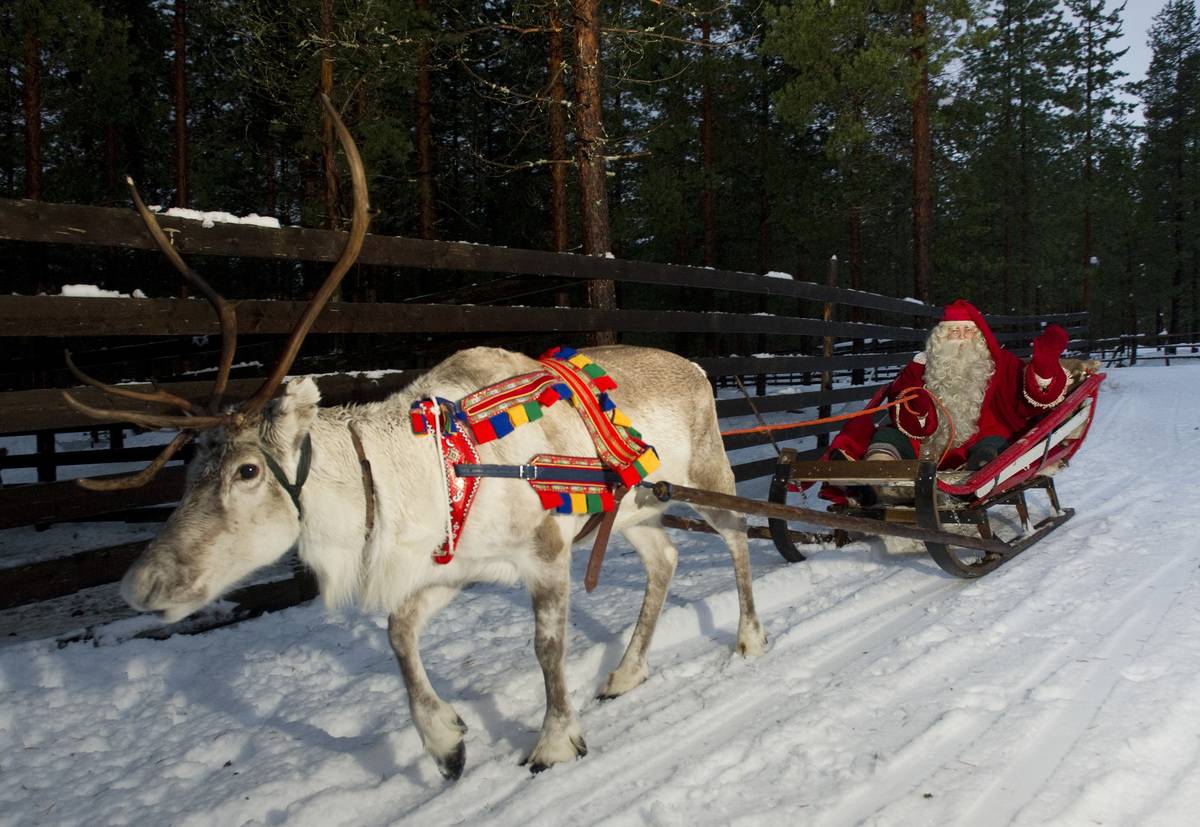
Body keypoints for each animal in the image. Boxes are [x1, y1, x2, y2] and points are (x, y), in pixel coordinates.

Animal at [64, 95, 767, 781]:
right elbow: (398, 632)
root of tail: (698, 368)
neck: (420, 472)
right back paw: (625, 672)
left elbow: (547, 648)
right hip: (633, 511)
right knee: (666, 559)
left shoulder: (544, 551)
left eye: (248, 470)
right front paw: (446, 742)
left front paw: (554, 741)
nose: (141, 585)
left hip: (708, 475)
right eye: (189, 469)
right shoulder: (455, 563)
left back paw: (748, 638)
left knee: (736, 534)